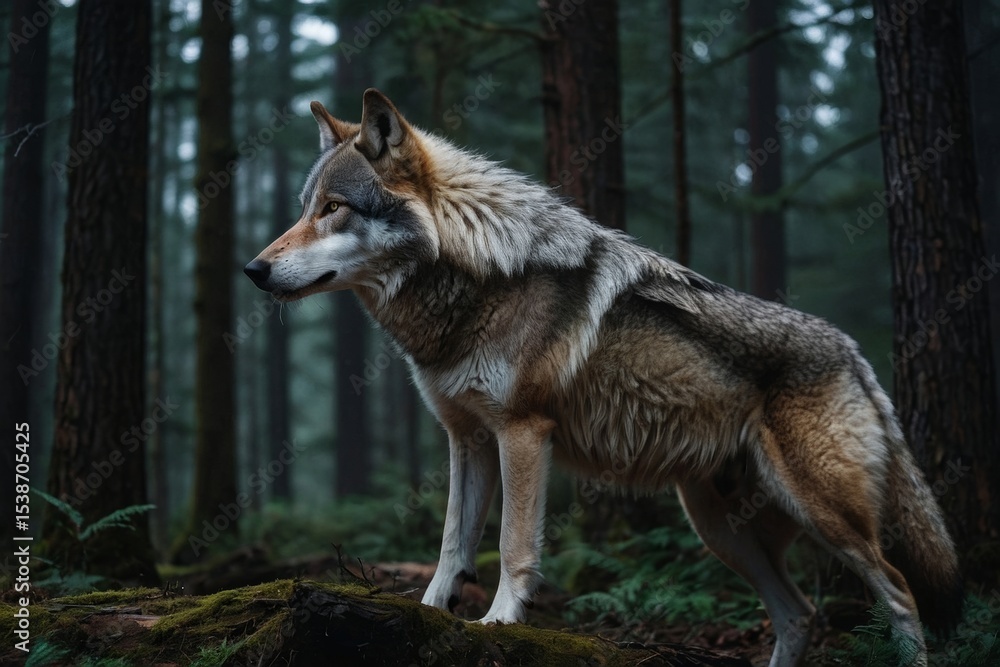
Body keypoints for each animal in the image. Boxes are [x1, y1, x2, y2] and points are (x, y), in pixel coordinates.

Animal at [244, 89, 962, 666]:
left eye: (334, 208)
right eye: (305, 207)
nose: (253, 269)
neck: (475, 286)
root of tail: (853, 351)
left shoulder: (523, 432)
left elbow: (511, 546)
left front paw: (498, 622)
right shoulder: (467, 439)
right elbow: (451, 546)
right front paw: (424, 613)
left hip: (819, 512)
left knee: (900, 591)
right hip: (720, 527)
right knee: (799, 614)